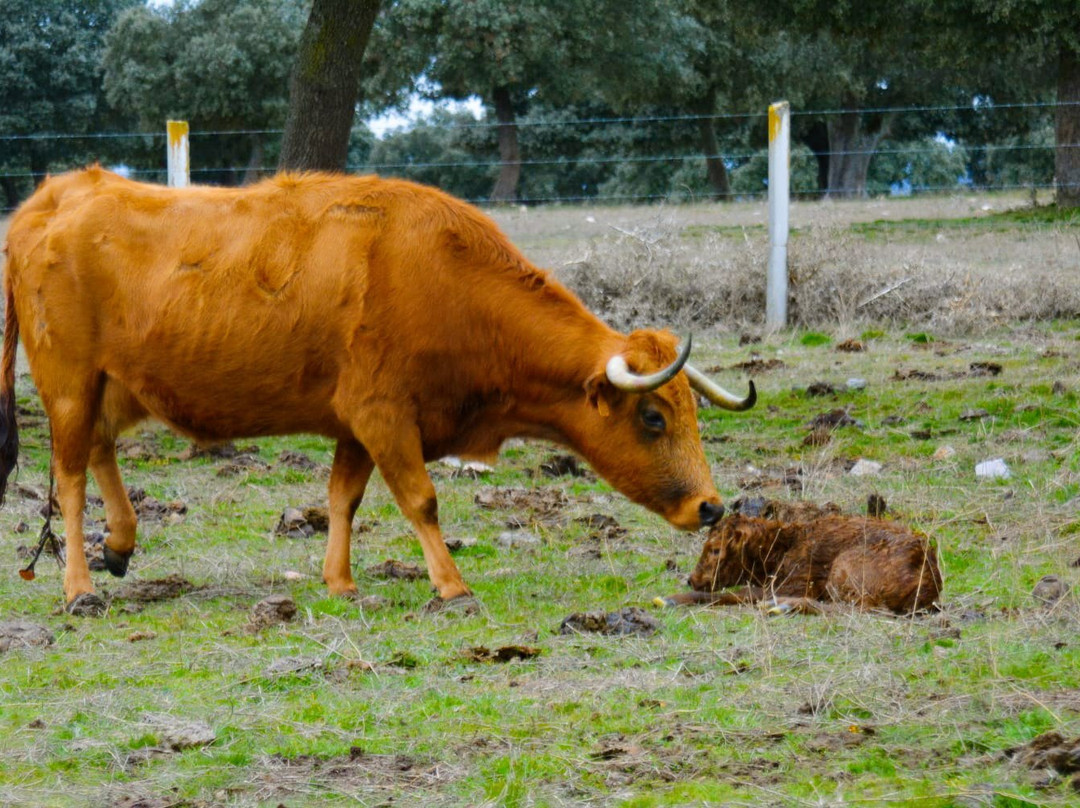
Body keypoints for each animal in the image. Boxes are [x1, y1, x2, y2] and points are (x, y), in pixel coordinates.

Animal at [0, 168, 756, 613]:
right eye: (654, 418)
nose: (712, 507)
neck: (444, 277)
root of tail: (56, 196)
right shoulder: (384, 415)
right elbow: (421, 499)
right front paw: (450, 585)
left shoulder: (353, 425)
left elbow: (344, 499)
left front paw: (340, 581)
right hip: (68, 387)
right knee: (69, 479)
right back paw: (80, 586)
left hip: (108, 387)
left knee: (100, 453)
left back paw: (122, 544)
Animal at [652, 514, 941, 613]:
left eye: (715, 550)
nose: (692, 579)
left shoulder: (798, 583)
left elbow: (737, 593)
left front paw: (669, 599)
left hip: (844, 571)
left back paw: (781, 606)